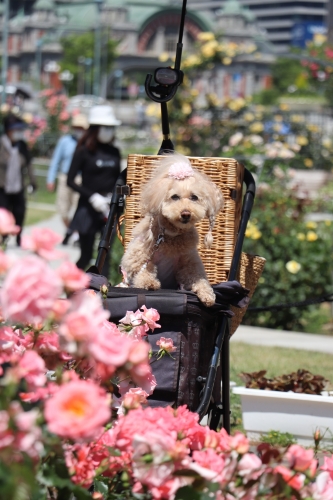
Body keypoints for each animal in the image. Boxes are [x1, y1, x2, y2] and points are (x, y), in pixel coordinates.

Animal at [119, 150, 223, 306]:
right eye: (174, 197)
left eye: (194, 197)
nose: (186, 214)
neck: (172, 234)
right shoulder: (138, 257)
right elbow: (143, 270)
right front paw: (149, 283)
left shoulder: (188, 262)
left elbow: (198, 278)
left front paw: (207, 295)